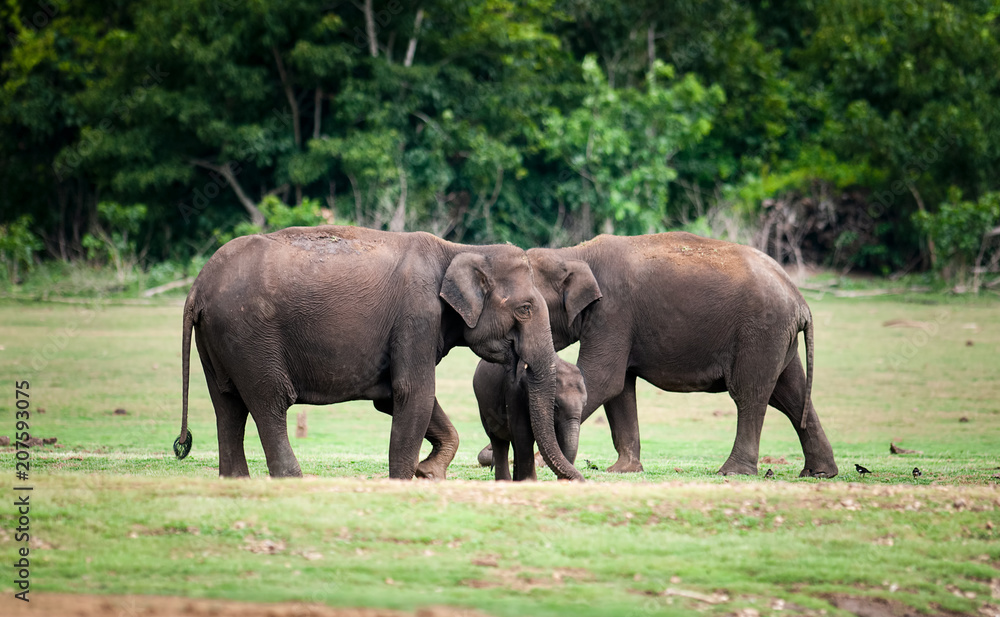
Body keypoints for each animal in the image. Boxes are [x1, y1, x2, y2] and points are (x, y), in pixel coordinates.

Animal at [174, 225, 583, 481]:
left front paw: (428, 472)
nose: (580, 480)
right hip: (249, 336)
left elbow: (393, 398)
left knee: (226, 403)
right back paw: (291, 478)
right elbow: (414, 394)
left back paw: (236, 480)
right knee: (269, 401)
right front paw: (406, 478)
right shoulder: (417, 317)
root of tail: (196, 288)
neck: (461, 249)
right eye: (526, 309)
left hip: (219, 340)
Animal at [476, 232, 838, 478]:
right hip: (778, 336)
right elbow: (620, 389)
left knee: (750, 394)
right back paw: (820, 473)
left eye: (527, 308)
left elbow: (603, 380)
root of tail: (801, 301)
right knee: (790, 394)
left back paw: (732, 472)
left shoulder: (613, 312)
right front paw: (624, 470)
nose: (483, 457)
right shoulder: (615, 321)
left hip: (761, 332)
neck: (573, 253)